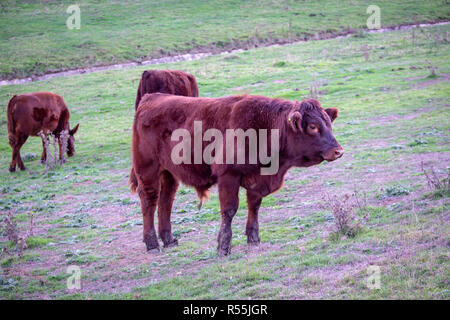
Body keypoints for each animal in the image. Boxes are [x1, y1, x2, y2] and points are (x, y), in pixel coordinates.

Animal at [130, 92, 344, 255]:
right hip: (148, 169)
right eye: (313, 126)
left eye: (329, 124)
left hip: (169, 173)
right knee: (149, 200)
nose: (338, 151)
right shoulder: (228, 177)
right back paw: (152, 244)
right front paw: (223, 247)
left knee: (166, 200)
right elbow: (229, 210)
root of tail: (151, 97)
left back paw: (169, 239)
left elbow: (254, 206)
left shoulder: (258, 181)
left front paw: (253, 239)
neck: (265, 127)